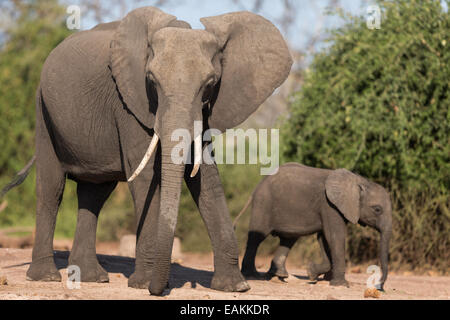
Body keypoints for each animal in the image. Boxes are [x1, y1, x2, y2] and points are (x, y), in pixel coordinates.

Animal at [2, 6, 292, 296]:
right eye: (151, 80)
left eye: (210, 83)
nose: (160, 288)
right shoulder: (130, 104)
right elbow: (147, 179)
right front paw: (142, 284)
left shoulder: (205, 111)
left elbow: (207, 179)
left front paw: (235, 286)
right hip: (43, 111)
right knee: (52, 189)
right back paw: (45, 277)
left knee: (94, 194)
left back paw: (92, 277)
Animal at [234, 164, 392, 288]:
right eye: (377, 209)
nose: (380, 288)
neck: (360, 181)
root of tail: (257, 187)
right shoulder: (329, 205)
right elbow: (335, 236)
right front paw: (340, 284)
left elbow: (324, 238)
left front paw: (314, 274)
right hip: (263, 203)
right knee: (256, 238)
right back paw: (253, 275)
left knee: (288, 239)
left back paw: (280, 275)